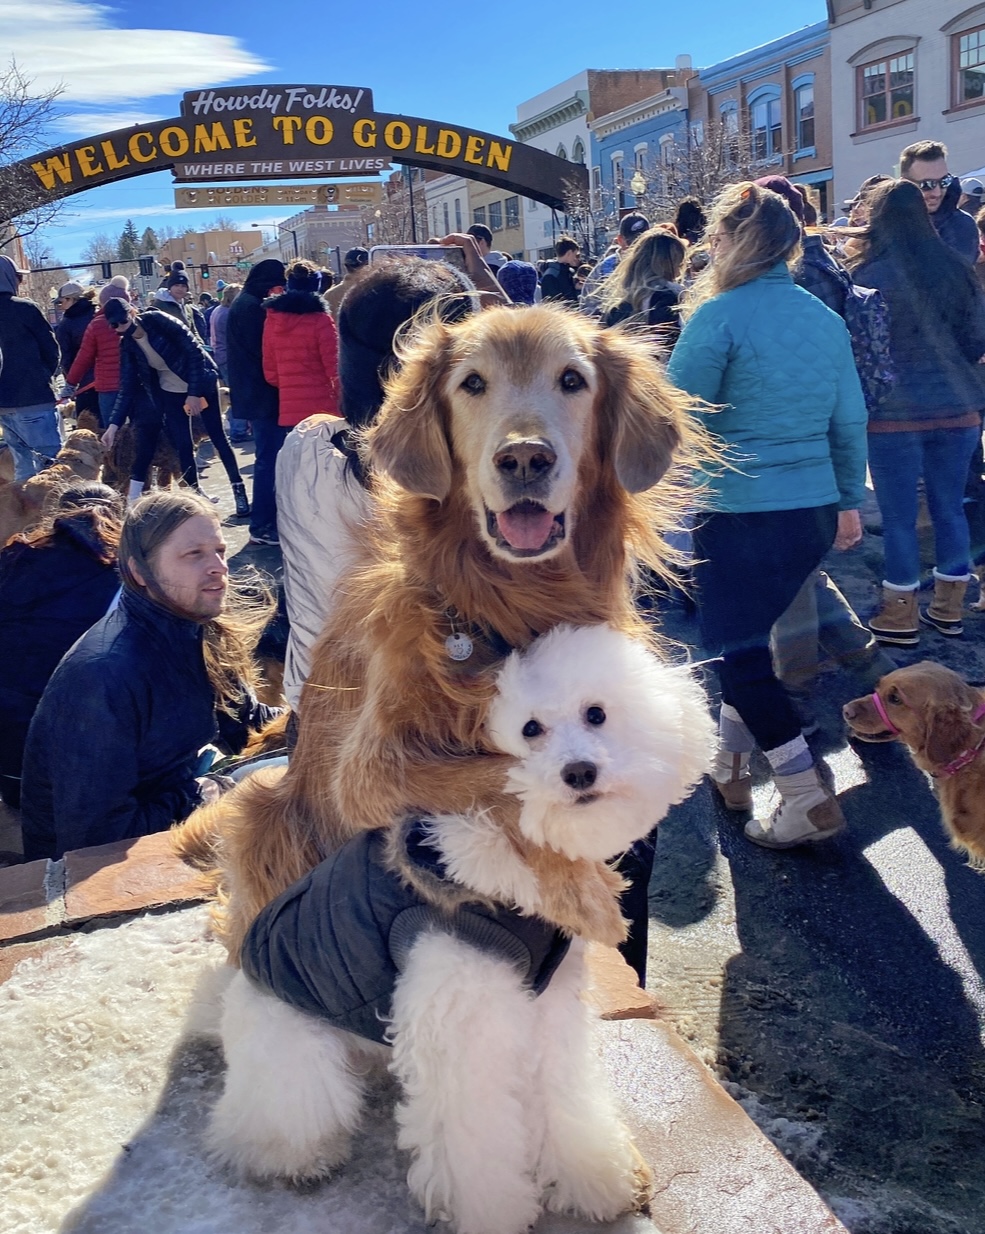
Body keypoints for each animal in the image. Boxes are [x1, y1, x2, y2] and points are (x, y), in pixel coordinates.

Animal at [175, 303, 710, 957]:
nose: (525, 458)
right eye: (473, 383)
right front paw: (583, 891)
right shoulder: (368, 770)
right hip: (261, 810)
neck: (504, 605)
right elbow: (503, 775)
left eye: (572, 380)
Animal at [209, 626, 715, 1234]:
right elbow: (473, 1140)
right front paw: (492, 1212)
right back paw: (297, 1157)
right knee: (272, 1119)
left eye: (596, 714)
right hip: (296, 1049)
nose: (578, 771)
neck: (510, 851)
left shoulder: (548, 1008)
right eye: (529, 729)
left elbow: (566, 1099)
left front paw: (593, 1178)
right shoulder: (456, 1023)